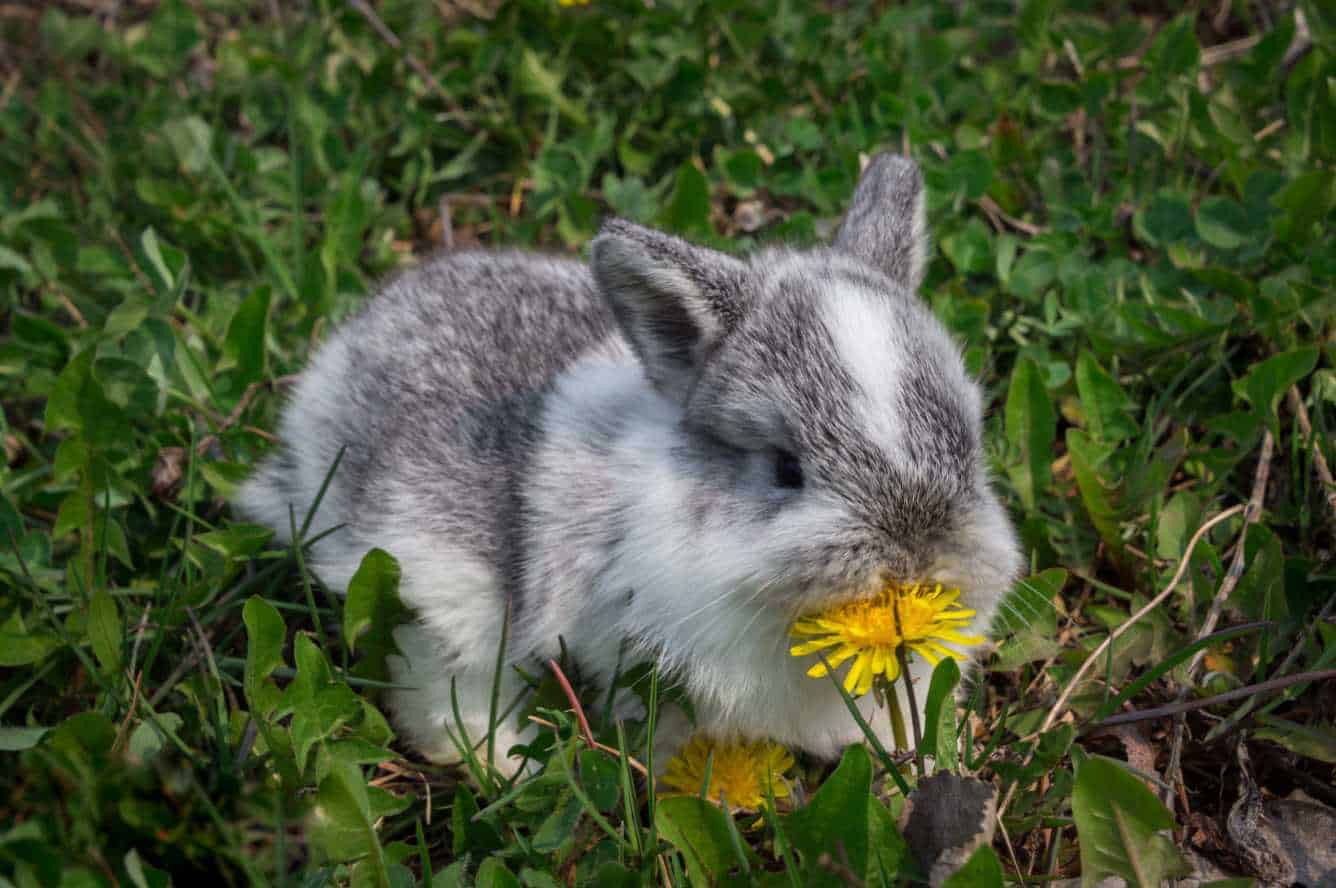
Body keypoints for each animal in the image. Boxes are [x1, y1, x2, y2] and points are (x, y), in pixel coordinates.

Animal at [235, 155, 1015, 774]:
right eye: (785, 468)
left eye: (970, 436)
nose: (917, 554)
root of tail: (327, 386)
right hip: (441, 596)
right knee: (441, 700)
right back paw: (510, 766)